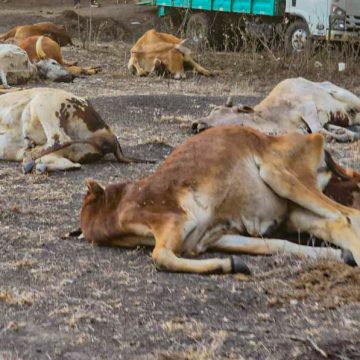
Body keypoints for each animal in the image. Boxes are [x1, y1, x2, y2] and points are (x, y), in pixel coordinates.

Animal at [0, 86, 148, 172]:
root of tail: (109, 134)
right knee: (72, 164)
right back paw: (37, 165)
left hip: (44, 101)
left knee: (59, 139)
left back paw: (29, 158)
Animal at [79, 126, 360, 276]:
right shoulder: (213, 237)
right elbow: (273, 244)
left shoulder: (180, 224)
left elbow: (161, 256)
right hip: (290, 198)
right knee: (339, 220)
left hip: (279, 177)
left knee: (345, 217)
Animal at [193, 78, 360, 142]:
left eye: (216, 110)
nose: (194, 124)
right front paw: (346, 134)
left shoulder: (307, 107)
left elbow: (319, 131)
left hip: (347, 96)